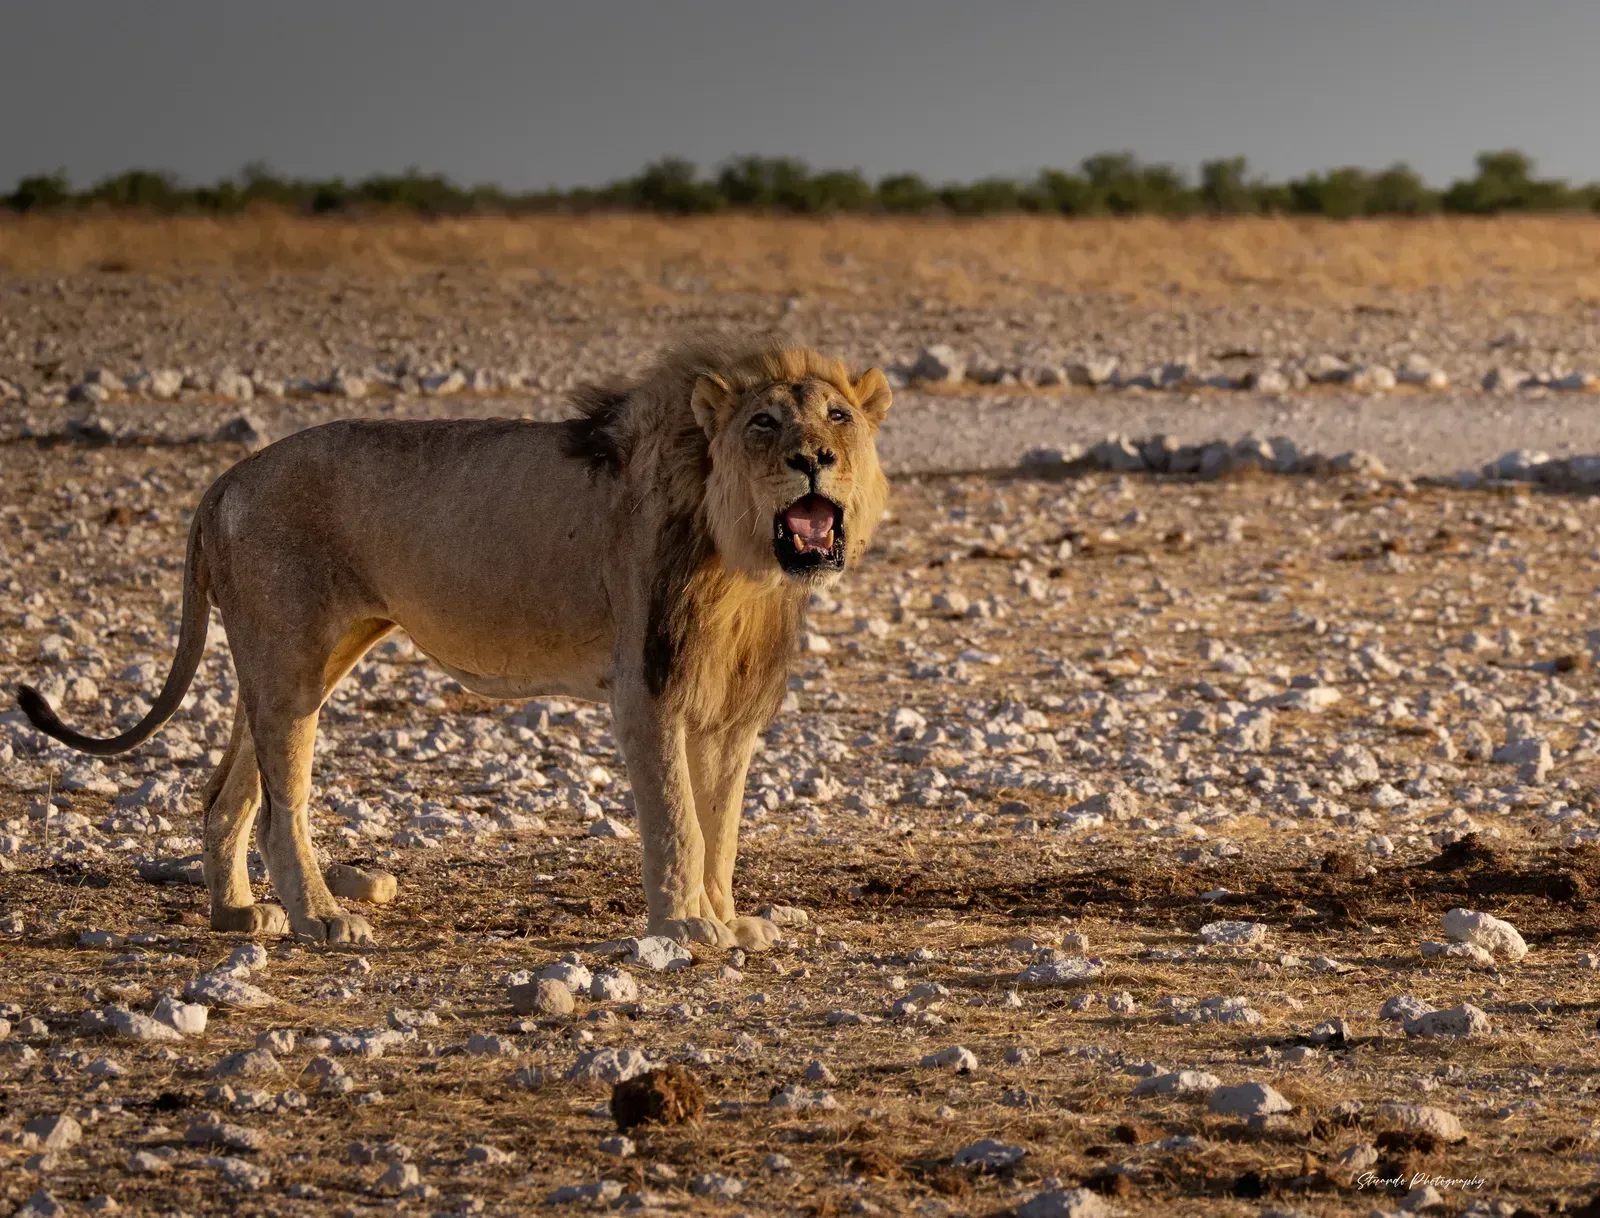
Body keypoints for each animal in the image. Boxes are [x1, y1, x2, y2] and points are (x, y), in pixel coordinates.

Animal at [16, 337, 892, 950]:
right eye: (764, 422)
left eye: (837, 417)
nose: (812, 460)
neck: (745, 566)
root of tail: (225, 479)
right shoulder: (648, 687)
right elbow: (677, 818)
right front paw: (683, 926)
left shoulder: (730, 711)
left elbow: (722, 827)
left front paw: (730, 919)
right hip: (290, 653)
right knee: (280, 804)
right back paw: (322, 918)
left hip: (295, 656)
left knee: (224, 792)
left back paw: (236, 915)